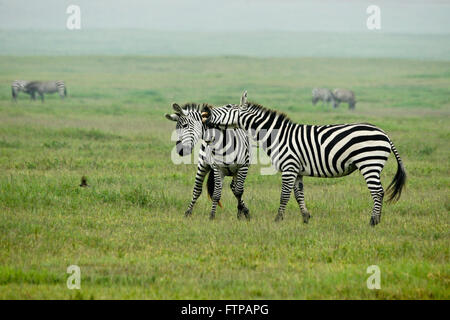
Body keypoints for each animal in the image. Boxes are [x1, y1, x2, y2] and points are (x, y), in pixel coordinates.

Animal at [202, 91, 406, 226]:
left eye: (228, 107)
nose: (206, 113)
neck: (277, 136)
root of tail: (384, 134)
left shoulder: (289, 167)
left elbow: (284, 195)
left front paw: (278, 219)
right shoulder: (297, 170)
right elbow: (298, 194)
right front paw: (306, 217)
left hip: (369, 163)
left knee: (378, 192)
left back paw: (373, 221)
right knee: (379, 192)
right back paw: (376, 219)